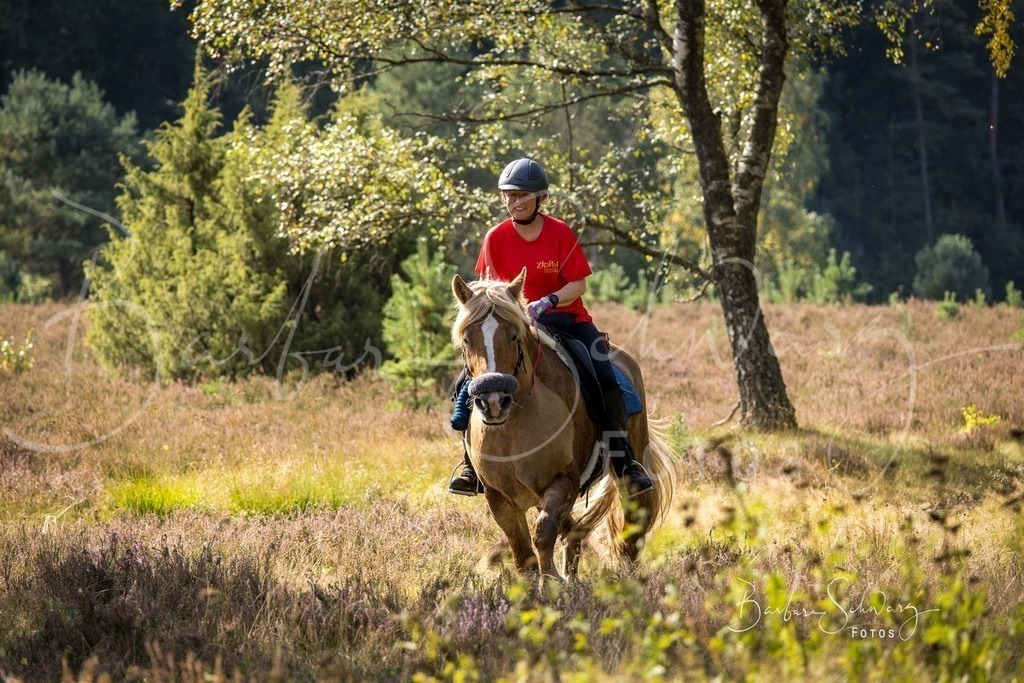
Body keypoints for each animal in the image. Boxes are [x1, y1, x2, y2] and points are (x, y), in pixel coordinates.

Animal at [451, 268, 678, 580]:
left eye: (513, 336)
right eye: (466, 339)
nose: (493, 400)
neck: (514, 425)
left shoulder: (564, 481)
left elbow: (543, 533)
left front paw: (551, 582)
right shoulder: (498, 497)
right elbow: (522, 553)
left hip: (629, 476)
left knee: (631, 530)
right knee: (573, 531)